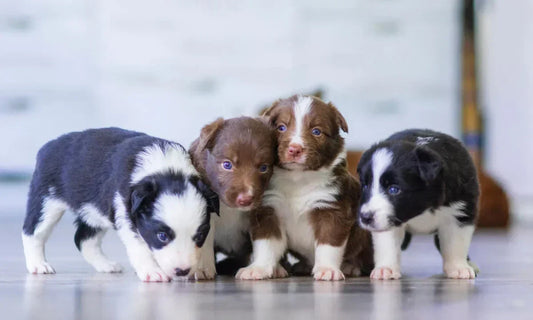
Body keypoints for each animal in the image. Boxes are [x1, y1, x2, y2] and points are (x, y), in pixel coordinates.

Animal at [21, 127, 218, 282]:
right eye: (162, 236)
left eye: (199, 236)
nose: (182, 271)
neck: (166, 170)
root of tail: (48, 146)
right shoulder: (126, 212)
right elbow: (140, 247)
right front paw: (152, 271)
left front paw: (203, 267)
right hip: (46, 201)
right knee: (32, 232)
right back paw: (38, 264)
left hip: (93, 212)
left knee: (83, 239)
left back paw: (105, 265)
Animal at [189, 116, 276, 274]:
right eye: (227, 165)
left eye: (263, 168)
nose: (246, 199)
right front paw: (202, 268)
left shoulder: (262, 209)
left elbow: (266, 238)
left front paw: (259, 268)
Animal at [235, 94, 372, 280]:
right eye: (281, 127)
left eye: (316, 131)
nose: (295, 149)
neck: (297, 179)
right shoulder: (268, 210)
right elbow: (266, 243)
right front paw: (258, 268)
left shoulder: (332, 209)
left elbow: (328, 245)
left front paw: (327, 269)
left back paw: (351, 266)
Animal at [358, 129, 478, 278]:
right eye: (365, 186)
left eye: (394, 189)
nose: (365, 217)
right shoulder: (390, 220)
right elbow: (388, 244)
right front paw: (386, 268)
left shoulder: (460, 213)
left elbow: (455, 244)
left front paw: (458, 267)